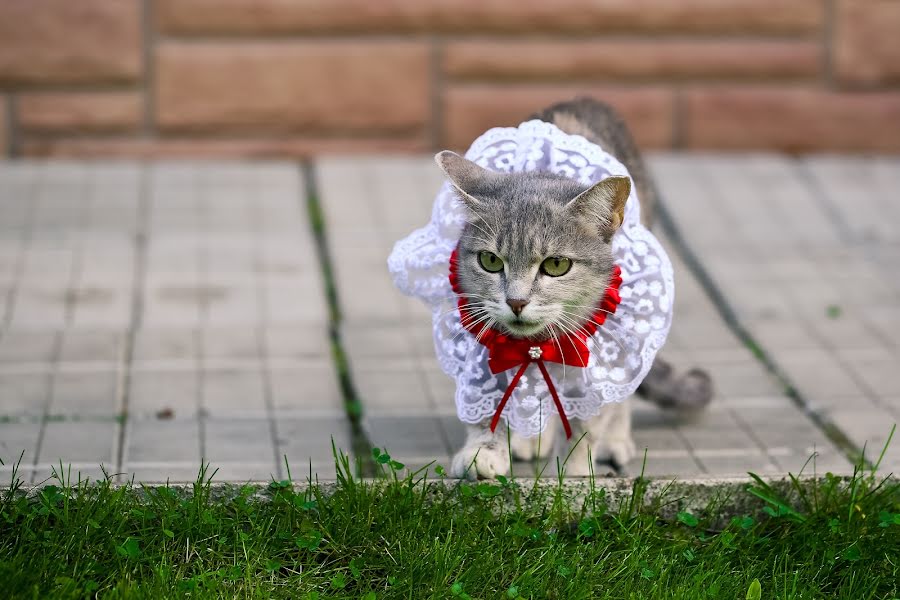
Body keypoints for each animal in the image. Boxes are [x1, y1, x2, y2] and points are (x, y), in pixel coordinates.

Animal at [442, 99, 712, 482]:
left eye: (556, 265)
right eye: (490, 261)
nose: (516, 301)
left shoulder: (601, 351)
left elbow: (591, 418)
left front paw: (575, 469)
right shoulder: (482, 337)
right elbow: (488, 404)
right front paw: (483, 451)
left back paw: (615, 441)